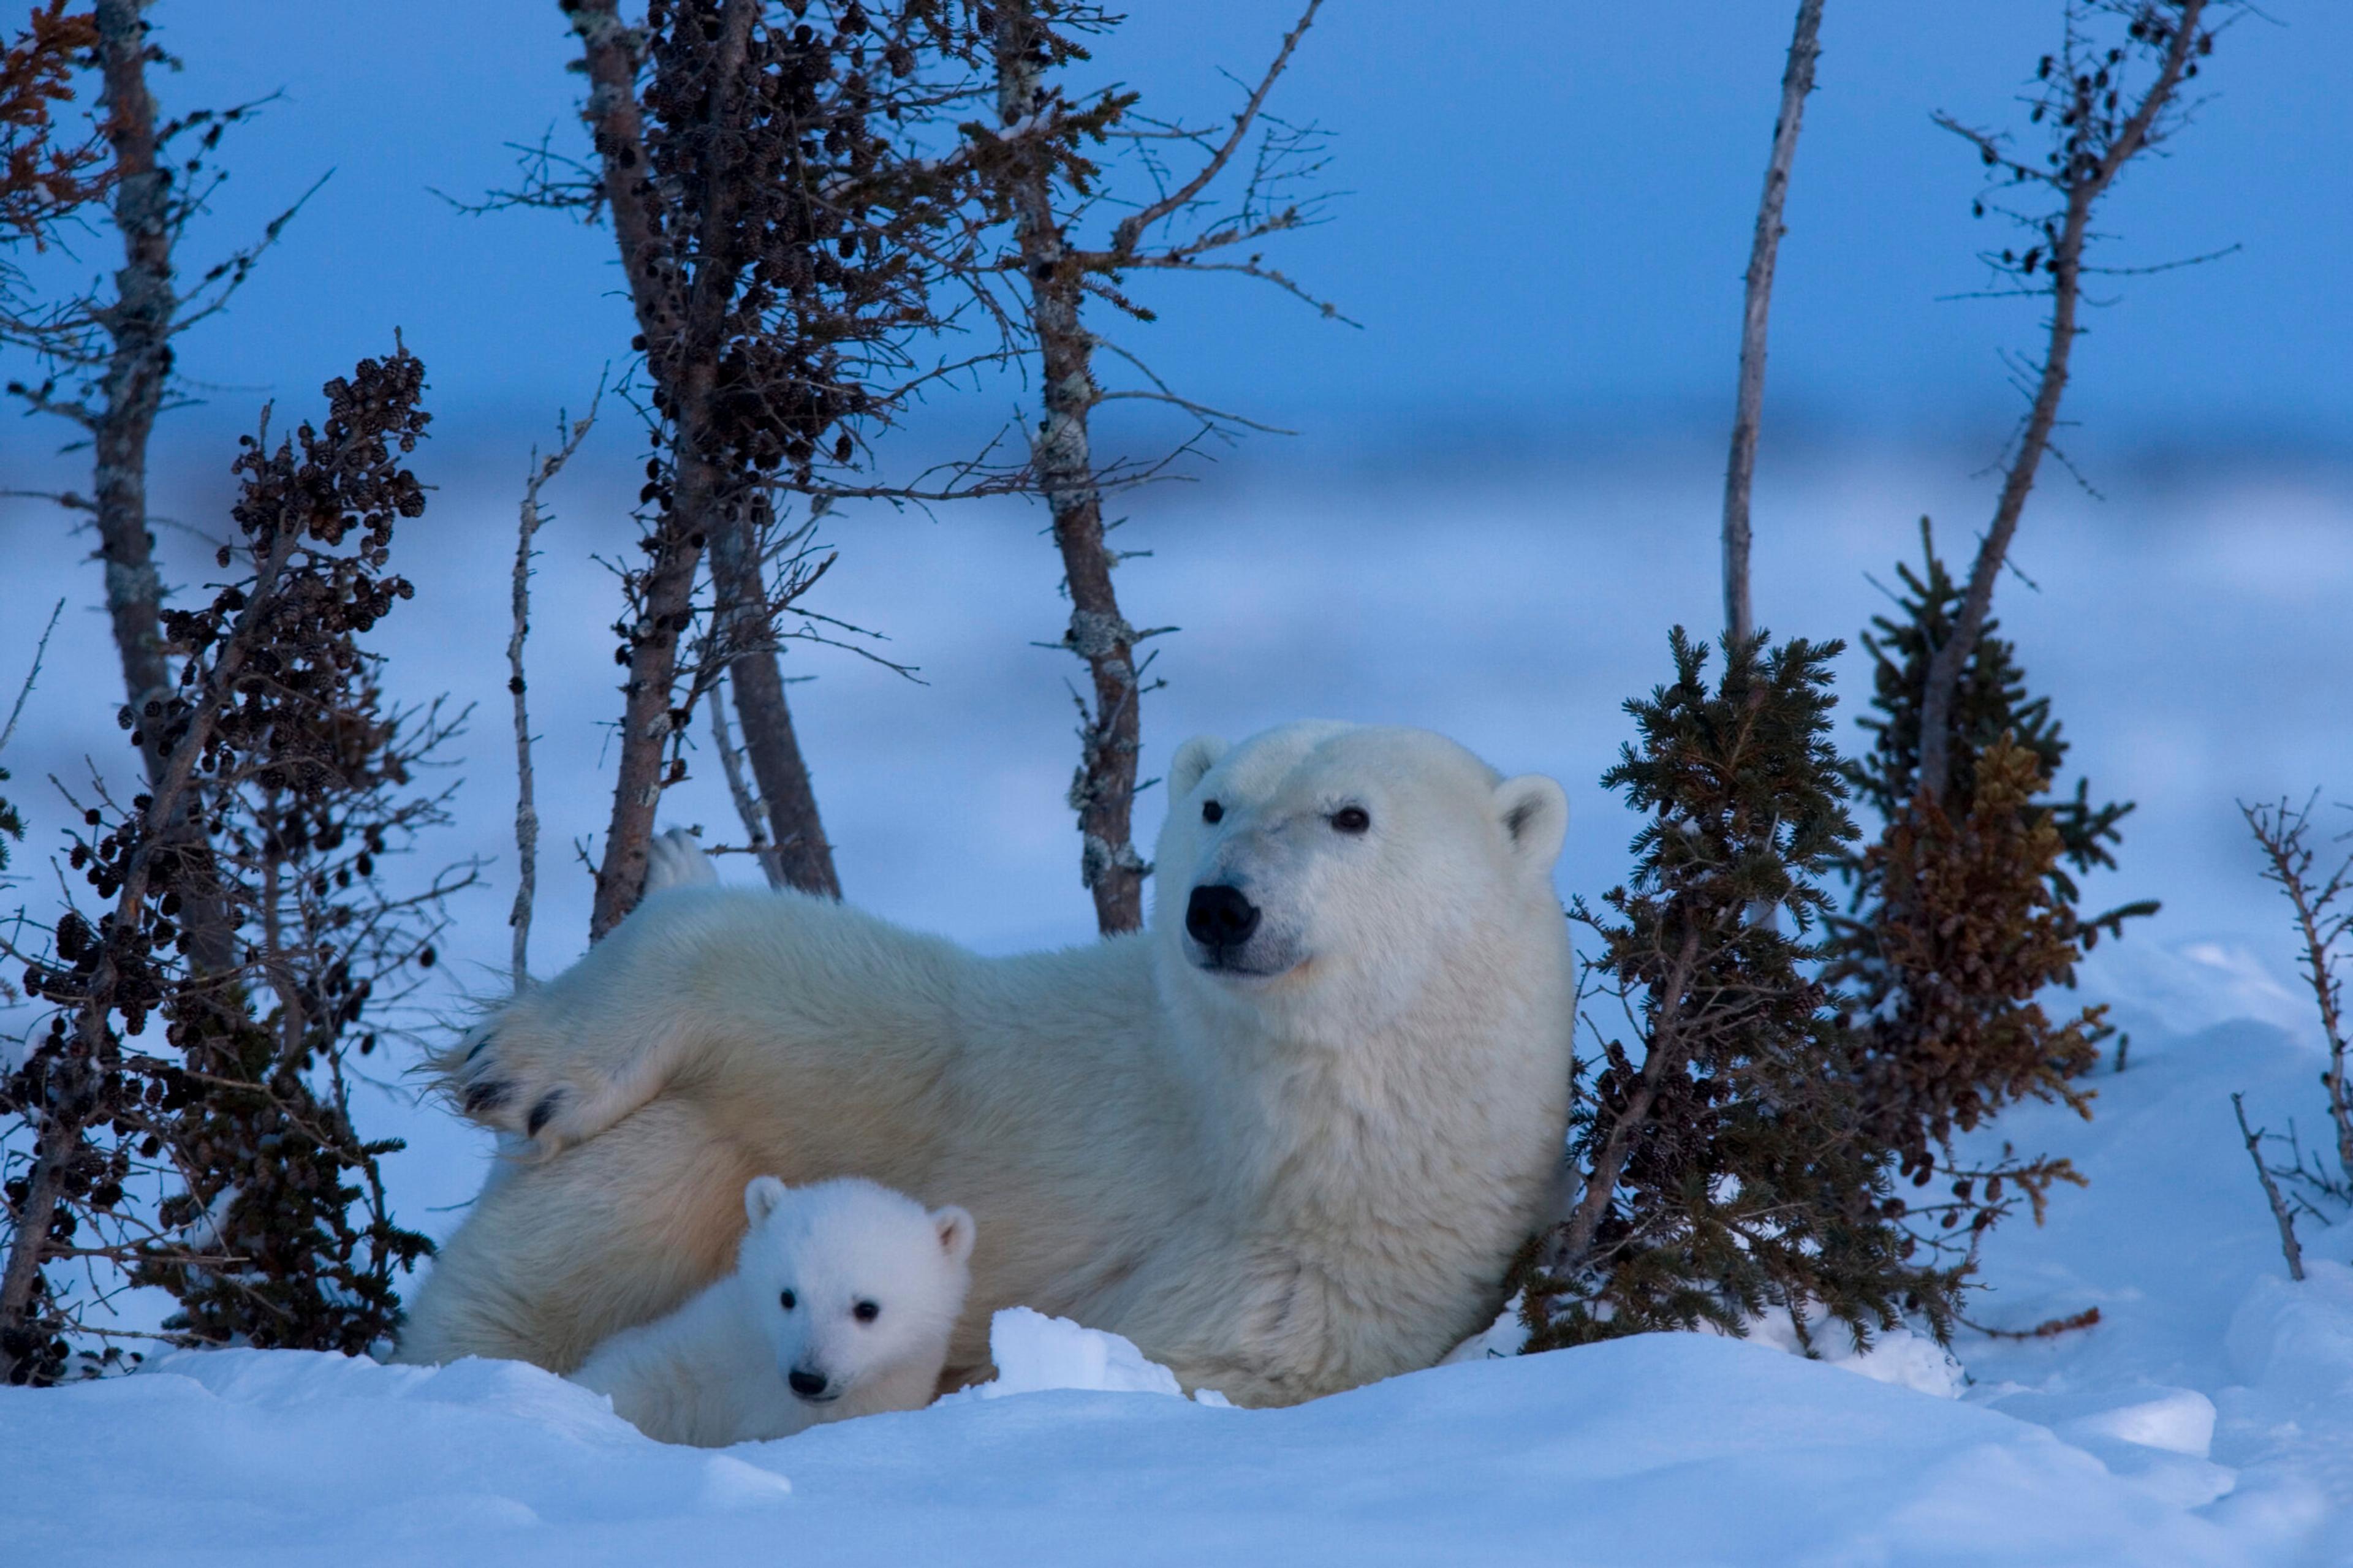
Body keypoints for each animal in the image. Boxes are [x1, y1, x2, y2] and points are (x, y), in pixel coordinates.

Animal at [397, 721, 1575, 1408]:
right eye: (1212, 805)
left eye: (1351, 815)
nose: (1220, 905)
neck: (1266, 1137)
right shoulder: (1067, 1075)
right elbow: (886, 1023)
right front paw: (524, 1064)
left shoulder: (1306, 1298)